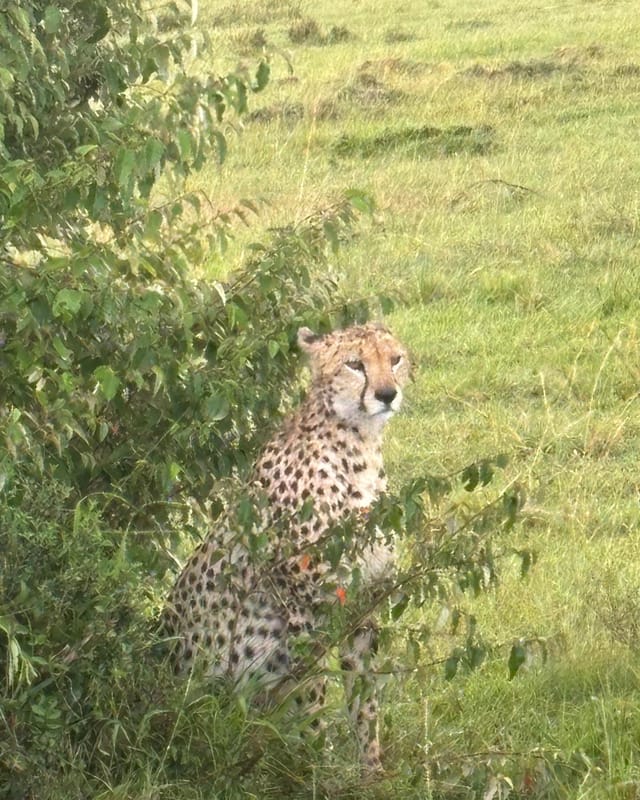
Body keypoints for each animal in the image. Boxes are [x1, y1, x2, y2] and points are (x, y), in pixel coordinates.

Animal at [164, 322, 410, 771]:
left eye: (395, 359)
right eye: (354, 364)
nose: (387, 394)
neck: (358, 448)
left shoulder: (363, 602)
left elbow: (364, 695)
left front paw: (371, 769)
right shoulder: (304, 610)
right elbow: (311, 698)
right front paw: (311, 769)